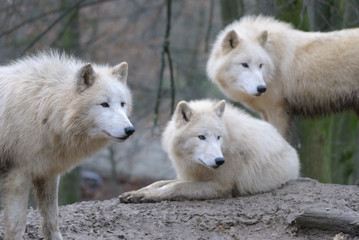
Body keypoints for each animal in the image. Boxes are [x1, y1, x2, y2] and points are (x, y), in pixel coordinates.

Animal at [0, 49, 135, 239]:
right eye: (104, 104)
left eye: (122, 104)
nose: (130, 130)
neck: (43, 109)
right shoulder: (18, 176)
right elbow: (17, 225)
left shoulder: (48, 173)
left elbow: (52, 220)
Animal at [119, 99, 300, 202]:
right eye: (201, 137)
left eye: (218, 137)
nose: (220, 161)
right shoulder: (190, 176)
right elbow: (160, 182)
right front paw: (137, 192)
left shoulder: (222, 186)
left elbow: (176, 187)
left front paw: (146, 196)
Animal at [207, 15, 359, 138]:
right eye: (245, 64)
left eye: (260, 65)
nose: (262, 88)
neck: (273, 61)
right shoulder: (266, 113)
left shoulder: (277, 111)